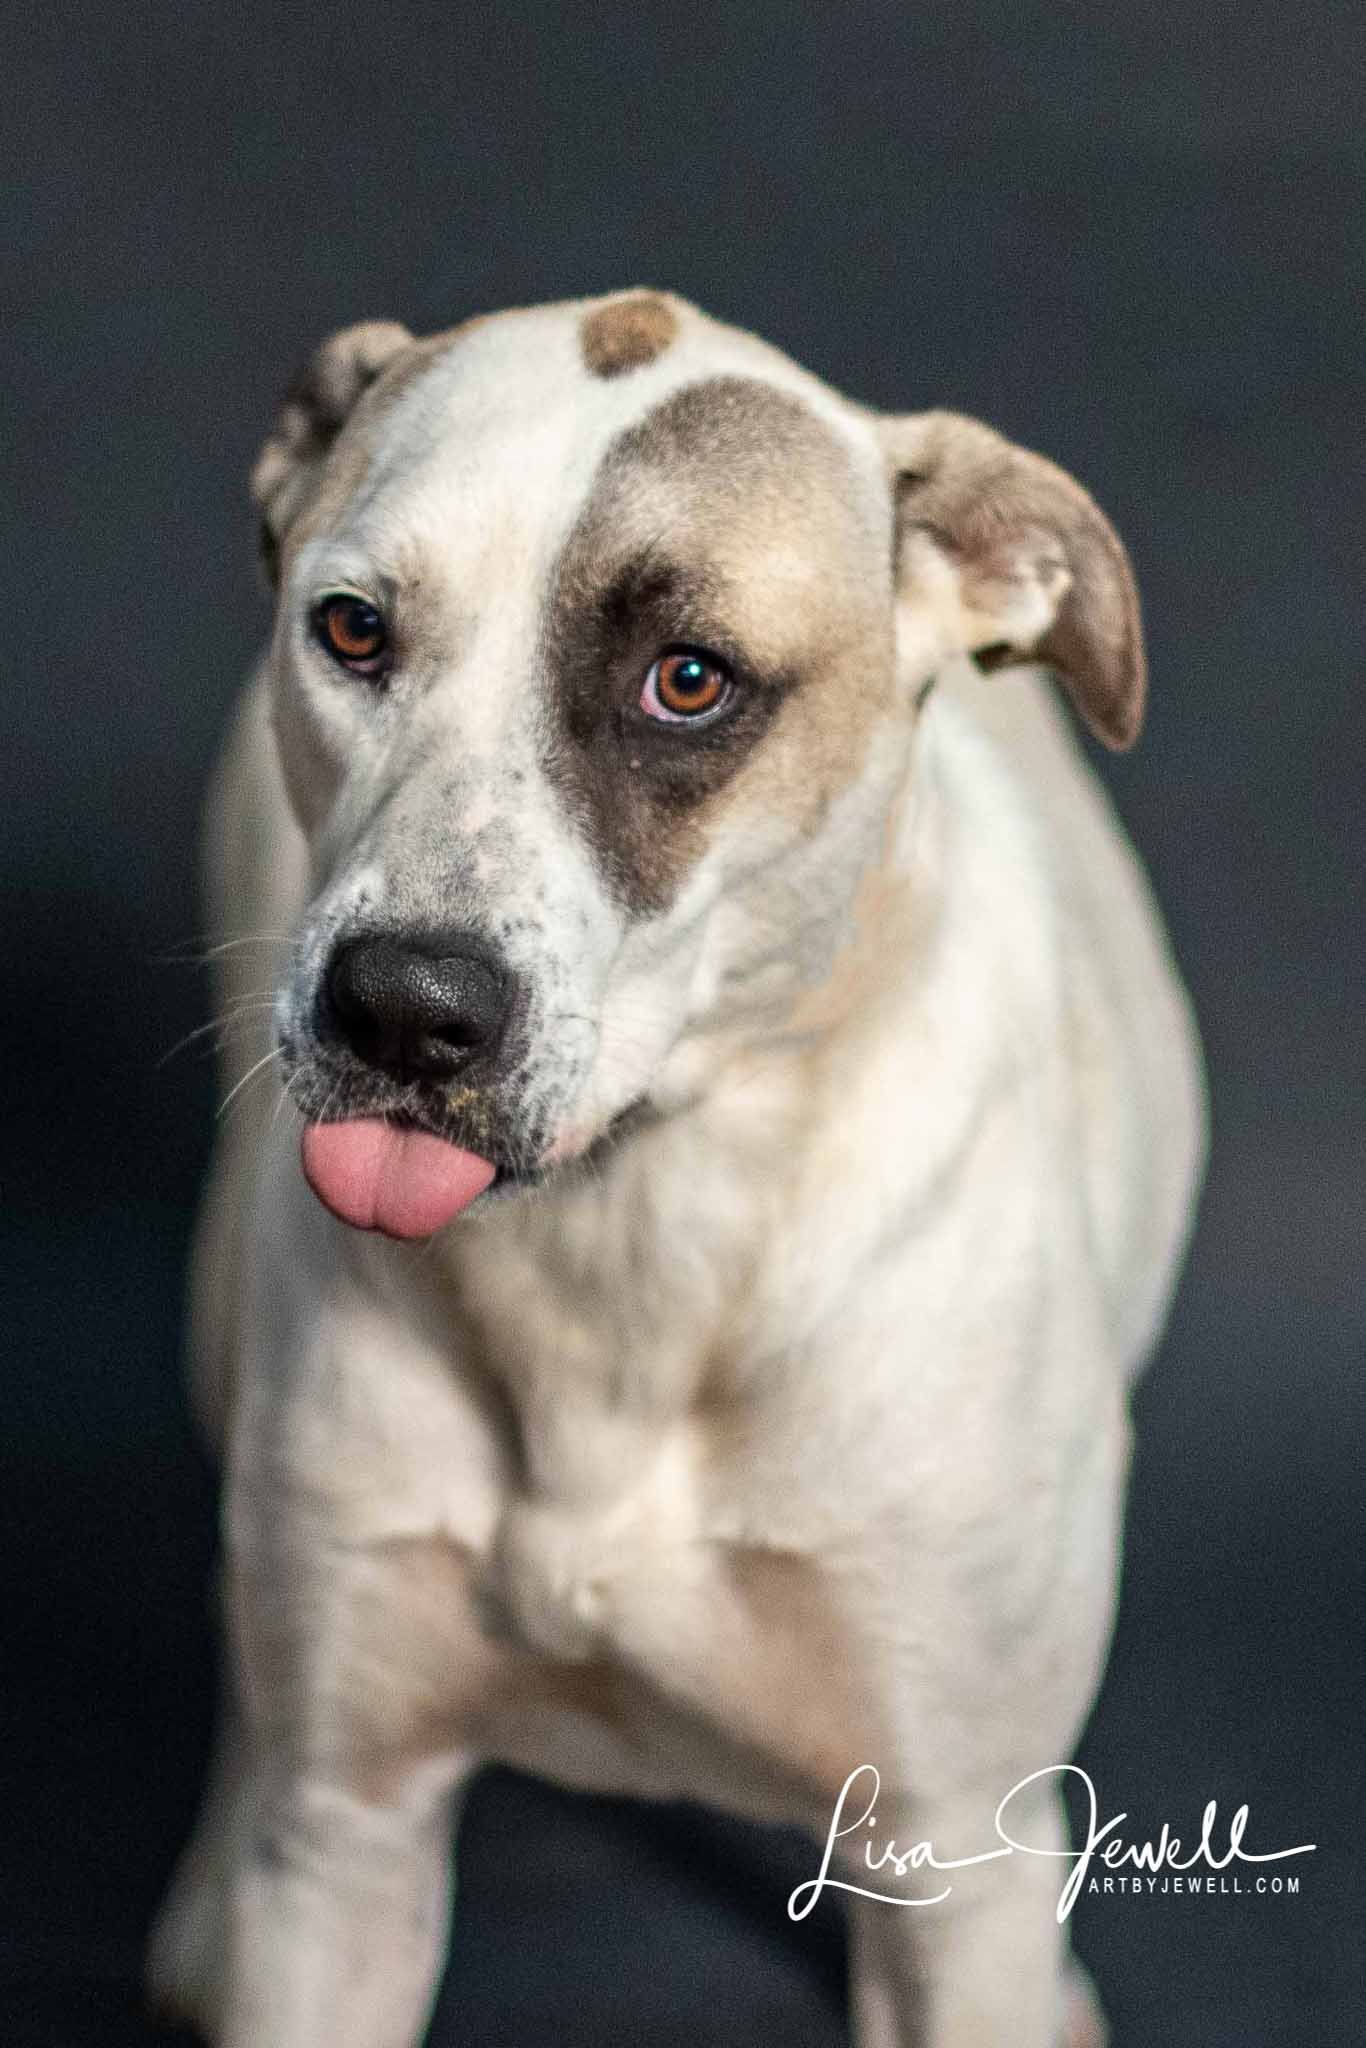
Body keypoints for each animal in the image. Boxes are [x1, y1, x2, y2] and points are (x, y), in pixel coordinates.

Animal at [147, 292, 1204, 2048]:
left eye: (689, 680)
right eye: (352, 632)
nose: (401, 1006)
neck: (624, 1245)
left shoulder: (955, 1866)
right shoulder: (352, 1851)